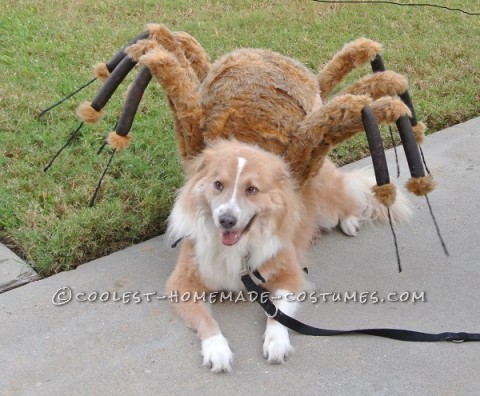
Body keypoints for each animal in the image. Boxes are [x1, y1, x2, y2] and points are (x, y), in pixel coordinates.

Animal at [165, 138, 408, 372]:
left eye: (251, 189)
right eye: (218, 185)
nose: (226, 220)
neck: (237, 247)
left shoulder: (290, 275)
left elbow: (277, 312)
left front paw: (276, 343)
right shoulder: (181, 284)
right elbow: (205, 320)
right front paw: (217, 350)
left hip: (328, 208)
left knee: (348, 200)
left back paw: (350, 221)